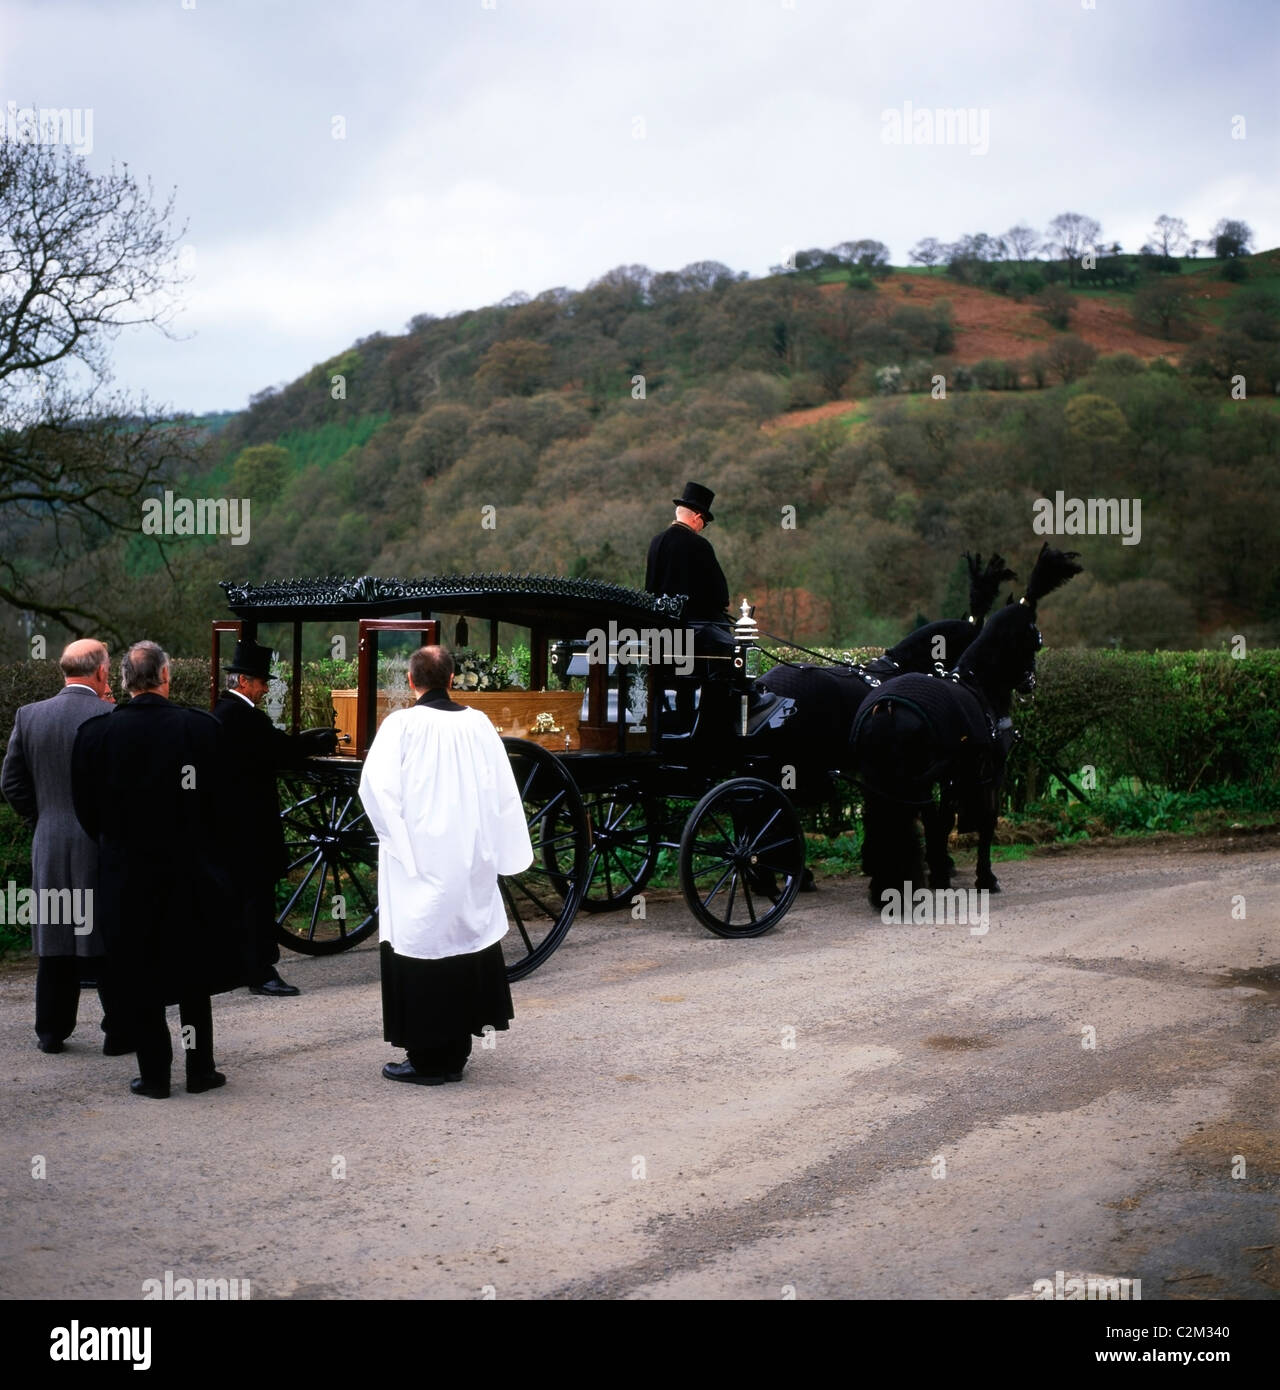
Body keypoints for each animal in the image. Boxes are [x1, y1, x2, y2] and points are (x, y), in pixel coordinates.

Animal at [850, 542, 1078, 911]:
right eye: (1036, 638)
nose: (1030, 682)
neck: (978, 683)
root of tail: (887, 707)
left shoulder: (951, 778)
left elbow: (942, 823)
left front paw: (942, 871)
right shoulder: (989, 774)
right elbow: (984, 821)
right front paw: (983, 877)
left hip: (884, 782)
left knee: (886, 821)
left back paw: (887, 884)